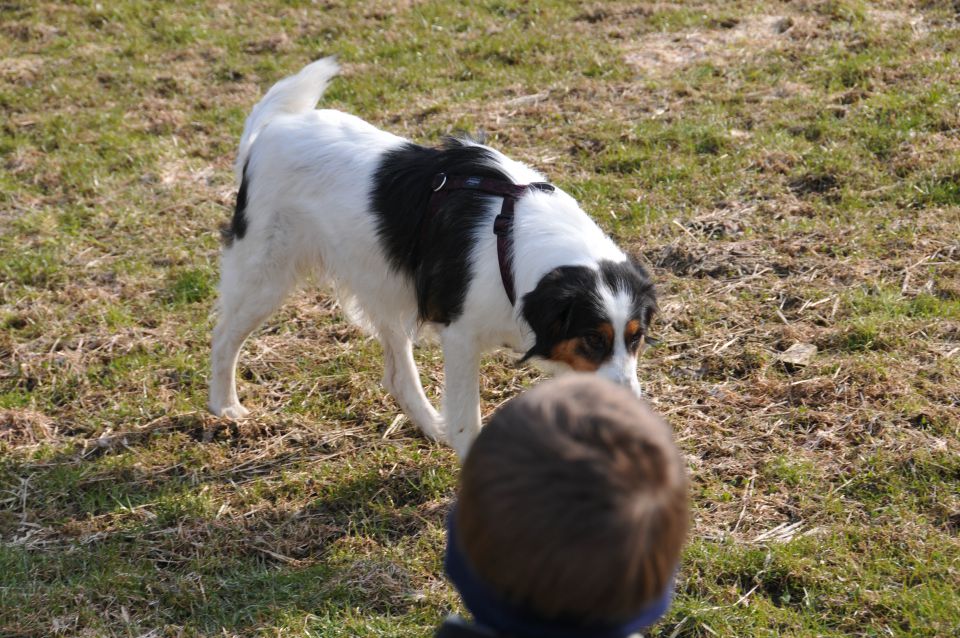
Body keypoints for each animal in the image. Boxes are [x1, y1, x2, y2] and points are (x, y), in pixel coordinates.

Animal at [208, 58, 660, 460]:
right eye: (593, 338)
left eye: (635, 337)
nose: (630, 406)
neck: (512, 242)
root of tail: (268, 132)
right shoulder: (460, 337)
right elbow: (467, 418)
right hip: (264, 275)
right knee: (224, 337)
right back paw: (225, 407)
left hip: (381, 282)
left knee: (397, 375)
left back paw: (429, 424)